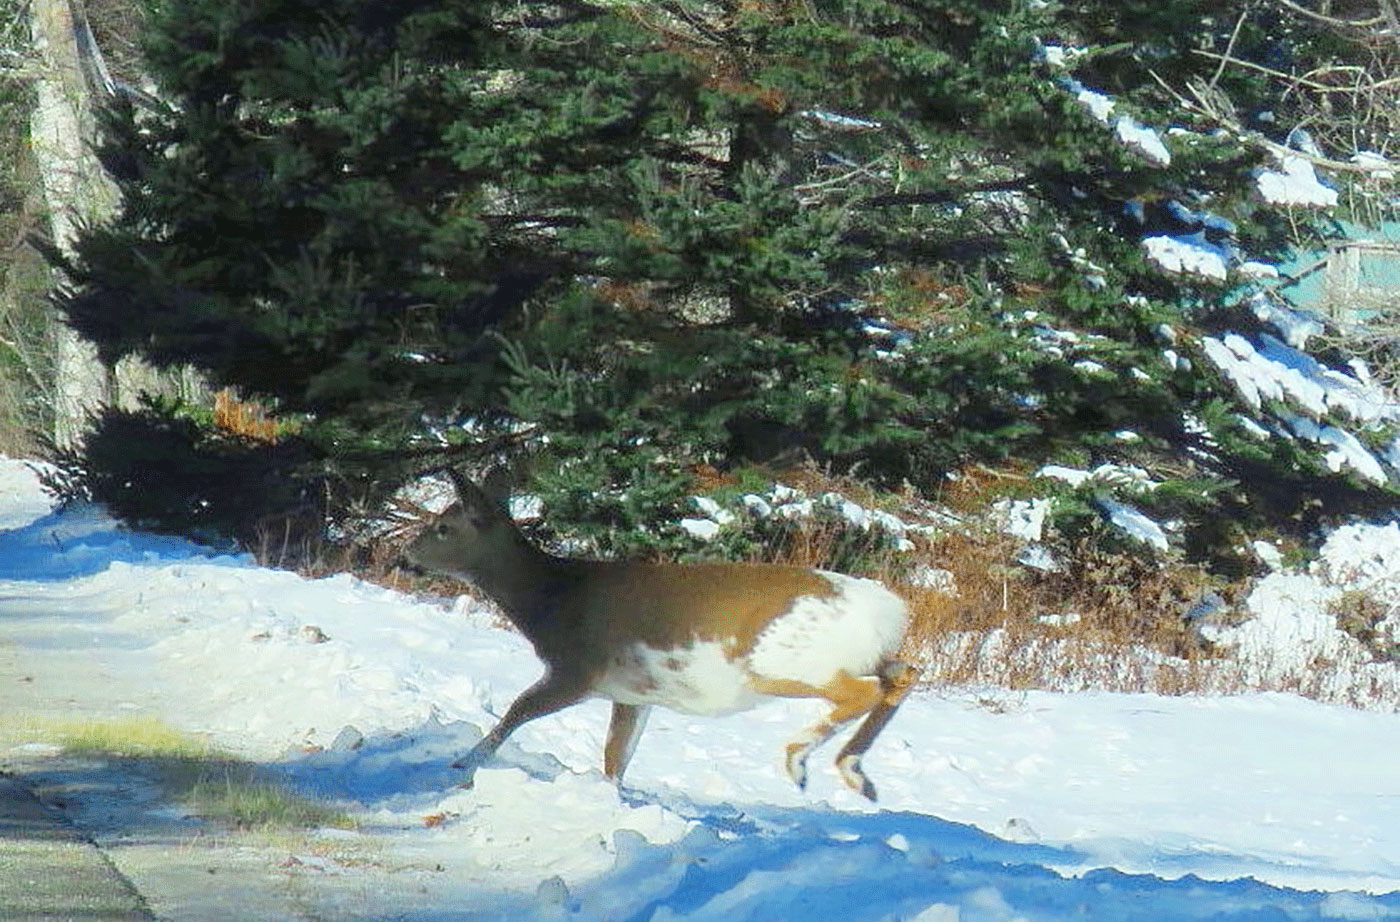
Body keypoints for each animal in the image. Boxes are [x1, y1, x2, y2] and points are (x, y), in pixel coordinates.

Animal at [408, 472, 918, 794]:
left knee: (864, 691)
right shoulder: (633, 694)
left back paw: (798, 761)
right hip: (844, 656)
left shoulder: (579, 669)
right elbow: (615, 759)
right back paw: (856, 775)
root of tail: (888, 610)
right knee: (902, 676)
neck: (552, 600)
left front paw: (462, 764)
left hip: (781, 662)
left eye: (442, 526)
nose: (405, 555)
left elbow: (518, 709)